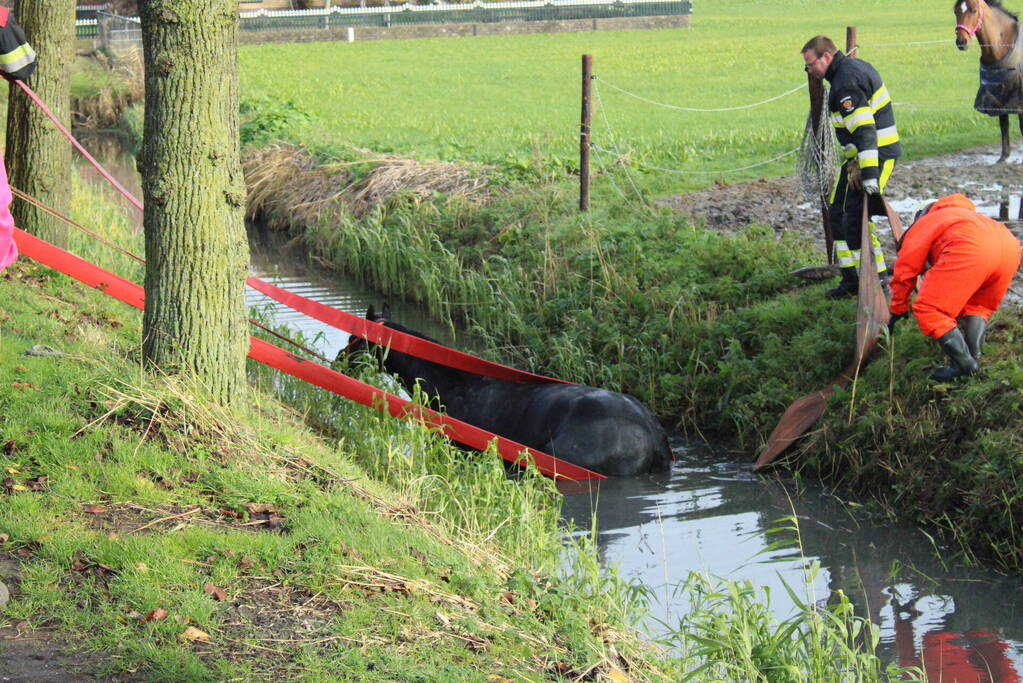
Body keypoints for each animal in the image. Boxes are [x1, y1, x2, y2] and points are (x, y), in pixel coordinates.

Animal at [955, 0, 1023, 162]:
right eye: (955, 11)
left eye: (973, 10)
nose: (961, 42)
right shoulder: (999, 95)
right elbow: (1004, 124)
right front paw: (1004, 157)